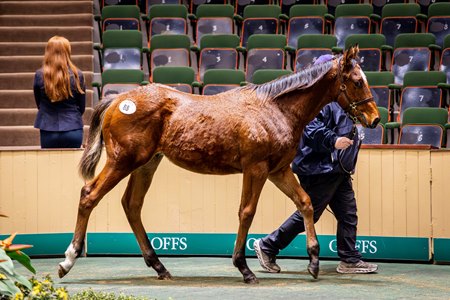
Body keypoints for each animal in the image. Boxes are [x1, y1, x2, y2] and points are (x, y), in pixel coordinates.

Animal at [58, 47, 378, 284]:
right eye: (357, 81)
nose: (374, 118)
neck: (274, 108)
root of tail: (118, 99)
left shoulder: (278, 171)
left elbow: (306, 203)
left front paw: (313, 261)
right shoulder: (256, 169)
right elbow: (246, 212)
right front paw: (244, 268)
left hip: (145, 165)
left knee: (132, 205)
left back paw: (159, 265)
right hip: (122, 161)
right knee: (89, 195)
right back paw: (68, 259)